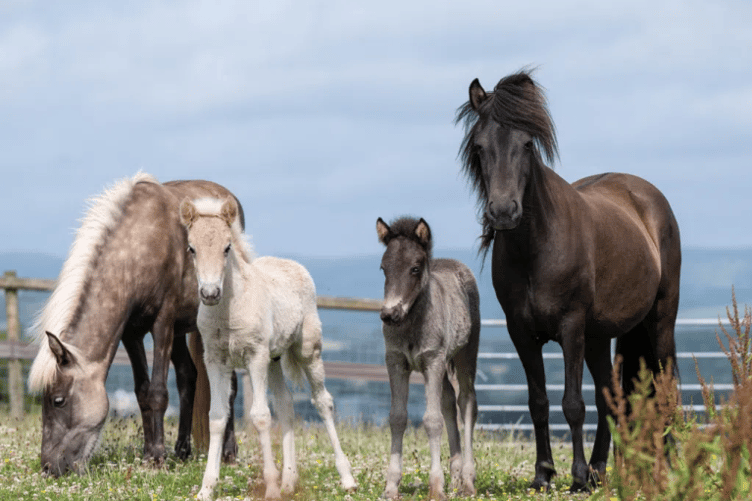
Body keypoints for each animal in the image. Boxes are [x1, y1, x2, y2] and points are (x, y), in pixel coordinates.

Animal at [28, 173, 240, 476]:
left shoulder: (163, 323)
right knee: (188, 376)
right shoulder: (132, 333)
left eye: (58, 400)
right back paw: (182, 451)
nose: (49, 467)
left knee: (229, 383)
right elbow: (142, 393)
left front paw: (158, 458)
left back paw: (229, 453)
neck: (137, 247)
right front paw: (149, 454)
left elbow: (158, 392)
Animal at [179, 197, 357, 500]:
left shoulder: (256, 356)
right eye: (192, 248)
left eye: (227, 247)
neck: (229, 311)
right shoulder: (214, 360)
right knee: (286, 404)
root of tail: (292, 264)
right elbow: (216, 417)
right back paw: (290, 481)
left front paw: (271, 487)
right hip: (274, 359)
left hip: (307, 350)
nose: (210, 293)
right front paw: (206, 488)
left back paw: (346, 478)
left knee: (323, 401)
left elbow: (261, 417)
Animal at [376, 216, 480, 501]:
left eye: (414, 268)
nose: (389, 314)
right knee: (448, 401)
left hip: (465, 353)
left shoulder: (432, 360)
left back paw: (467, 480)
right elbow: (397, 417)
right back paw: (455, 477)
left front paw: (436, 486)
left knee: (466, 401)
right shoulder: (396, 362)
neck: (411, 323)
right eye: (383, 268)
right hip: (442, 363)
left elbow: (432, 421)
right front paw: (391, 486)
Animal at [455, 70, 681, 491]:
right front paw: (544, 474)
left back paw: (669, 467)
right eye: (479, 146)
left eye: (527, 144)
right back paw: (601, 471)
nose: (503, 212)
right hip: (599, 337)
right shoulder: (521, 332)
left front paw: (575, 477)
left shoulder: (571, 326)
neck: (537, 247)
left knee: (666, 387)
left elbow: (573, 404)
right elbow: (539, 402)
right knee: (612, 396)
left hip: (659, 320)